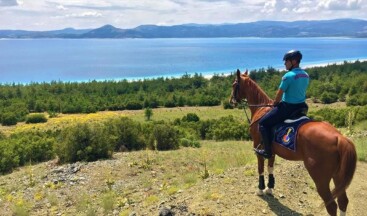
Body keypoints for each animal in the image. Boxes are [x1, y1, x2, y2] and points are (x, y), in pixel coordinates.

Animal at [231, 69, 358, 216]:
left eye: (234, 84)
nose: (231, 101)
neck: (262, 109)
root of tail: (339, 138)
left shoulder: (259, 147)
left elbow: (261, 168)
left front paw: (261, 189)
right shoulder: (271, 151)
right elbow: (270, 167)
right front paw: (270, 188)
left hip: (320, 178)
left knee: (331, 205)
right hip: (339, 177)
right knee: (343, 201)